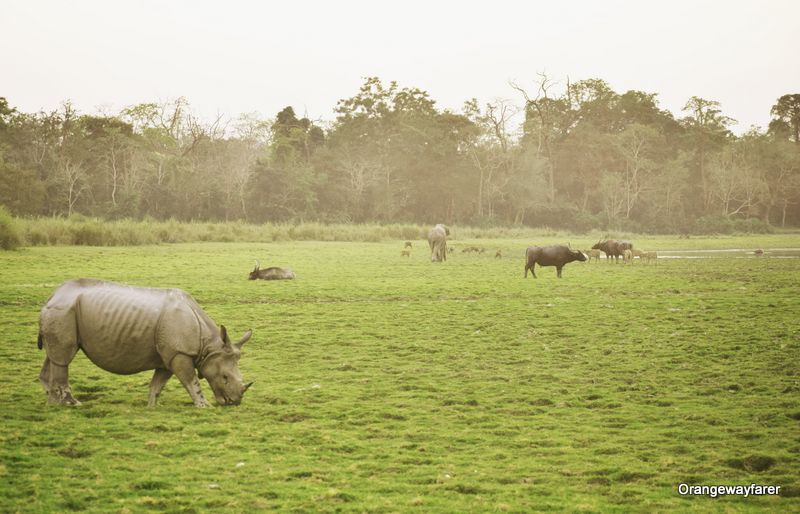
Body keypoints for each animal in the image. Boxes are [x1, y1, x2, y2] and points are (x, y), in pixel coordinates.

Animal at [37, 278, 253, 406]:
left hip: (63, 311)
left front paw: (151, 406)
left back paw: (52, 402)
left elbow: (157, 384)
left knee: (53, 356)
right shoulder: (180, 352)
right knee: (63, 357)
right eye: (224, 377)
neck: (208, 346)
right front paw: (204, 406)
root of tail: (53, 295)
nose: (235, 401)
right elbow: (191, 381)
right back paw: (71, 404)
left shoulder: (170, 355)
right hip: (63, 311)